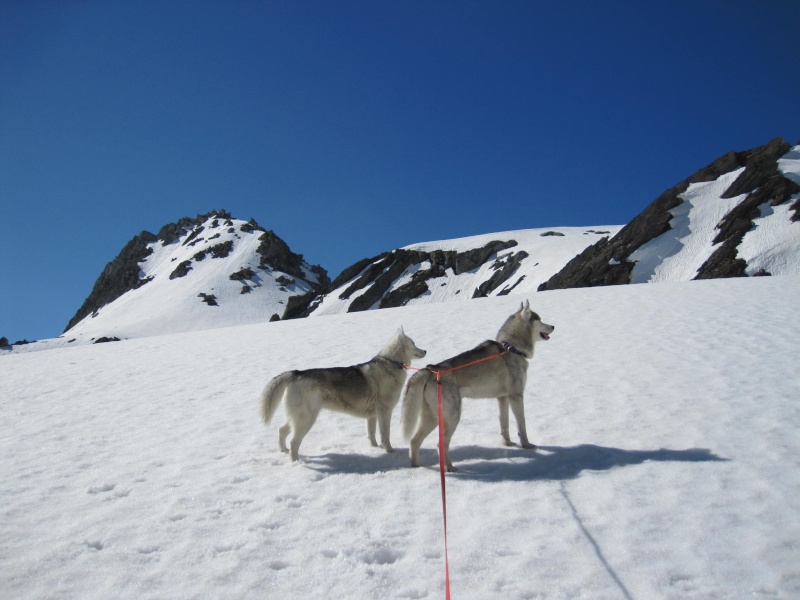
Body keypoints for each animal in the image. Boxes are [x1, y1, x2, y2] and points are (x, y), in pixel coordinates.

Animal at [260, 330, 424, 462]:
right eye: (414, 343)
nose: (425, 351)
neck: (391, 363)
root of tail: (296, 373)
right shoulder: (385, 411)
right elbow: (385, 435)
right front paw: (390, 451)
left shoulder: (372, 415)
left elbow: (371, 434)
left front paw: (374, 448)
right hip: (306, 419)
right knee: (294, 442)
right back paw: (296, 462)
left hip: (297, 418)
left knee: (281, 431)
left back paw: (284, 451)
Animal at [404, 302, 552, 472]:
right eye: (540, 319)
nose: (553, 326)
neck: (512, 348)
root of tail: (430, 370)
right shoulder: (516, 396)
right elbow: (522, 425)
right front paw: (527, 445)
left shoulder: (502, 398)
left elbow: (504, 425)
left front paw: (507, 443)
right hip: (452, 416)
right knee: (440, 445)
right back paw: (450, 468)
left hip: (433, 418)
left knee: (414, 441)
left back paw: (417, 467)